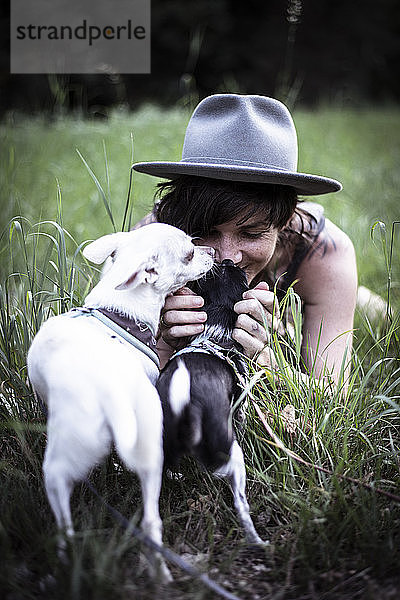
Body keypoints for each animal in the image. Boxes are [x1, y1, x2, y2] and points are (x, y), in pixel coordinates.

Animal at [26, 224, 214, 580]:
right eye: (189, 253)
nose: (210, 250)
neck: (118, 311)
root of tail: (109, 386)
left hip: (61, 467)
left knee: (74, 526)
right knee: (147, 519)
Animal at [156, 260, 266, 548]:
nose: (227, 260)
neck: (214, 337)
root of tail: (186, 401)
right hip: (230, 454)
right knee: (241, 503)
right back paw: (256, 539)